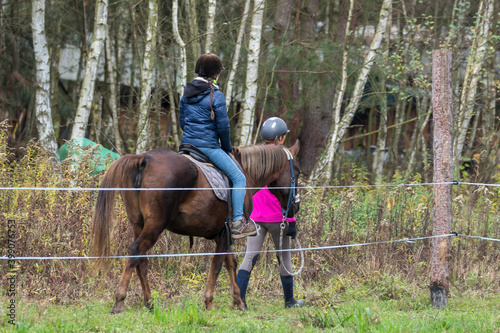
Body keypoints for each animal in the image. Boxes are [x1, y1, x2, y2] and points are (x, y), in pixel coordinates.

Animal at [92, 139, 298, 312]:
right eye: (297, 171)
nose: (295, 206)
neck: (246, 174)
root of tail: (144, 159)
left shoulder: (224, 235)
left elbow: (230, 264)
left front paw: (238, 302)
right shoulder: (224, 234)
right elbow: (217, 266)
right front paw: (209, 302)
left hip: (138, 225)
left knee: (141, 260)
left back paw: (149, 303)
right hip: (154, 226)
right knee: (135, 252)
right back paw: (119, 301)